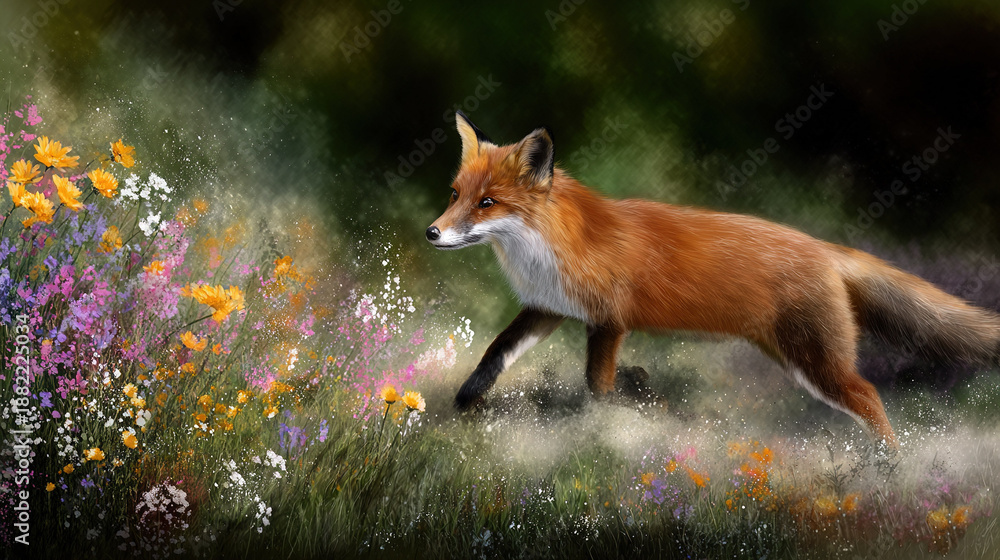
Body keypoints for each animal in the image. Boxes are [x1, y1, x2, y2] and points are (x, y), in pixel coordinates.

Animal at [426, 110, 1000, 448]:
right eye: (455, 194)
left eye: (487, 203)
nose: (432, 233)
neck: (551, 247)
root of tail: (823, 247)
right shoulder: (551, 308)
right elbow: (496, 352)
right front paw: (464, 401)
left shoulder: (608, 322)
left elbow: (597, 385)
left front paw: (611, 421)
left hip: (818, 363)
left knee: (871, 397)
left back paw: (888, 468)